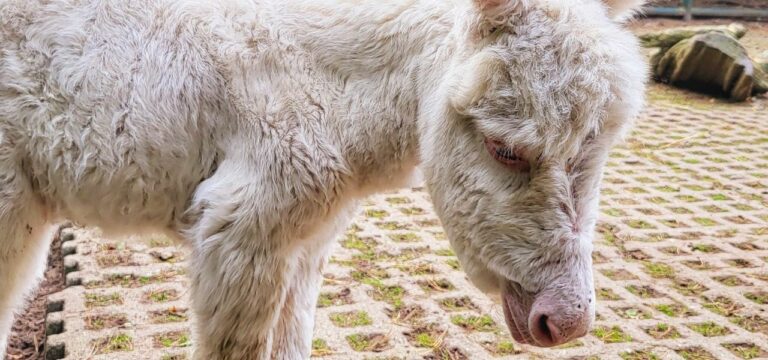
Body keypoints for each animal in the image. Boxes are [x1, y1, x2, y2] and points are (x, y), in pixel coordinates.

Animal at [0, 0, 648, 358]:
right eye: (504, 150)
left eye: (600, 149)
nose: (566, 322)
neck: (326, 83)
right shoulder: (241, 233)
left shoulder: (305, 240)